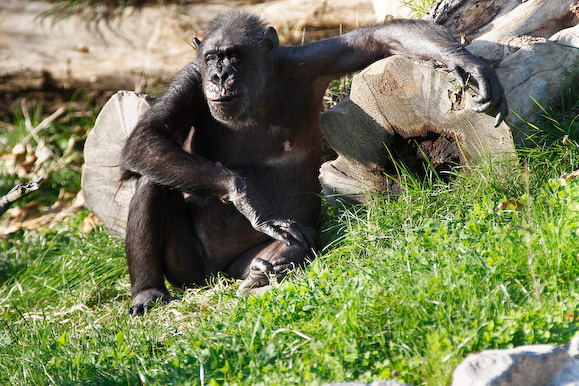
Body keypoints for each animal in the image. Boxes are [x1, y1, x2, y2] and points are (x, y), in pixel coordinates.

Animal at [122, 10, 508, 316]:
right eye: (212, 58)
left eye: (234, 56)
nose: (219, 76)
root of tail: (212, 276)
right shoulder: (190, 77)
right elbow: (147, 136)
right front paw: (249, 201)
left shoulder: (312, 59)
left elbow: (374, 39)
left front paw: (464, 61)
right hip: (186, 270)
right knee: (152, 176)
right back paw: (148, 292)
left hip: (233, 265)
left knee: (299, 238)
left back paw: (262, 272)